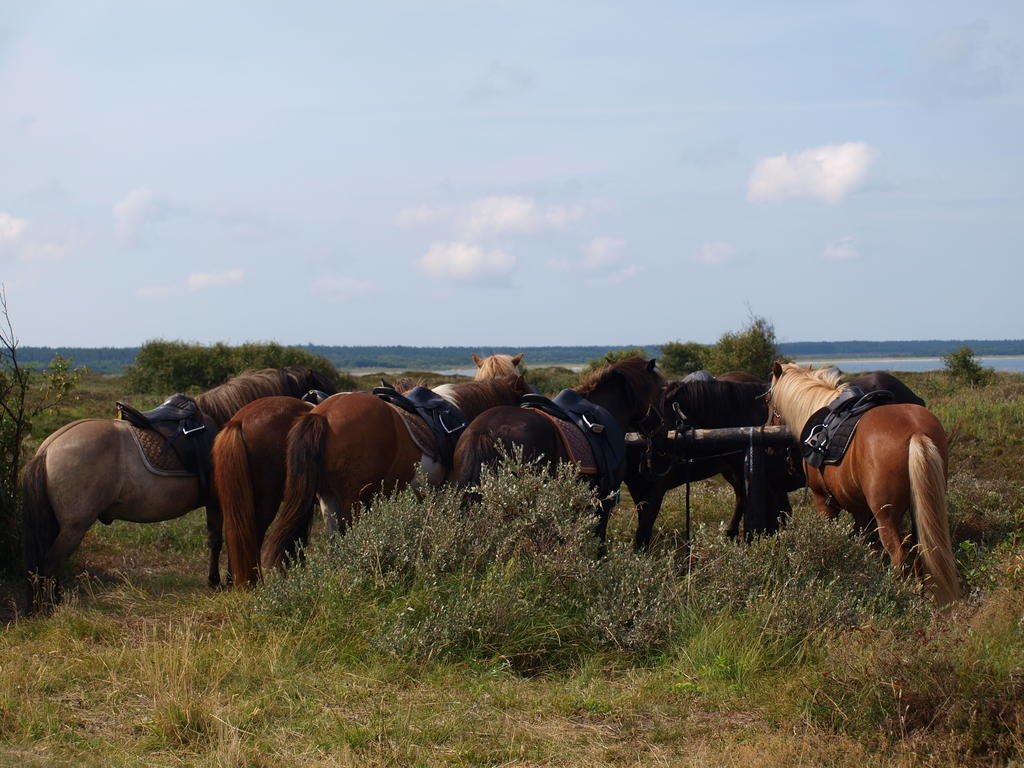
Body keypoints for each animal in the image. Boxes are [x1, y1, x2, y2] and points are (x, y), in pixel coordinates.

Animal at [19, 368, 333, 614]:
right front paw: (230, 580)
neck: (228, 421)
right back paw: (50, 607)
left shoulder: (216, 503)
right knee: (50, 562)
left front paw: (217, 581)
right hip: (74, 526)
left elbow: (216, 539)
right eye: (320, 392)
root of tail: (48, 448)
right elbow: (234, 536)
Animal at [770, 362, 958, 606]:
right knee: (920, 550)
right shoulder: (860, 510)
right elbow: (865, 542)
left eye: (769, 402)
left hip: (885, 516)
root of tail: (916, 433)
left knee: (898, 554)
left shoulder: (823, 502)